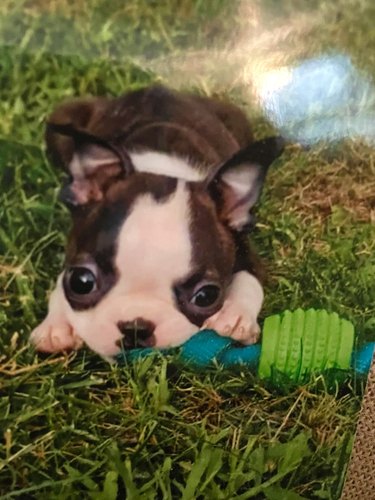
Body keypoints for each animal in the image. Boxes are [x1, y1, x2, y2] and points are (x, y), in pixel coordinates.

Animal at [29, 86, 284, 360]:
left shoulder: (242, 243)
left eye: (206, 296)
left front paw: (236, 315)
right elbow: (59, 285)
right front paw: (57, 325)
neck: (163, 170)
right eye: (81, 282)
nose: (136, 327)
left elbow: (251, 277)